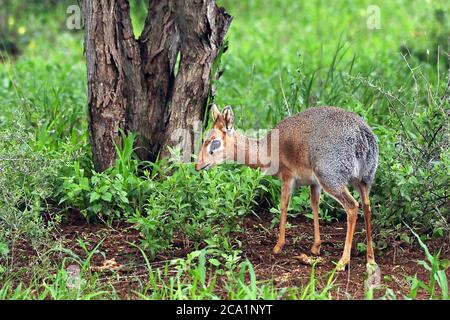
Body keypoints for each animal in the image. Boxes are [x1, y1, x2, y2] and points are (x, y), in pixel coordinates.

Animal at [197, 105, 380, 270]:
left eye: (214, 141)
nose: (198, 165)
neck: (266, 150)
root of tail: (361, 135)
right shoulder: (313, 183)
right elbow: (314, 205)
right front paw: (316, 247)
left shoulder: (288, 177)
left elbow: (284, 205)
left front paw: (278, 246)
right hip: (363, 180)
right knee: (367, 206)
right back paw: (370, 259)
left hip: (332, 179)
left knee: (352, 206)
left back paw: (343, 261)